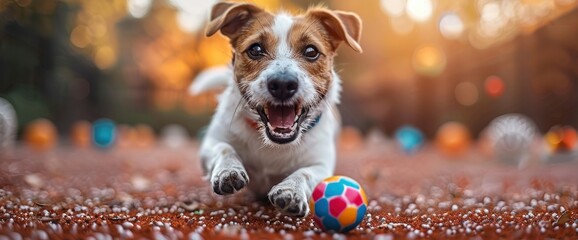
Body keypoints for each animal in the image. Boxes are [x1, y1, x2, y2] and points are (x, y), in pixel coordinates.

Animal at [190, 1, 360, 216]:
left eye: (311, 51)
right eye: (255, 49)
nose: (282, 84)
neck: (274, 146)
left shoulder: (321, 163)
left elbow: (305, 173)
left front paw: (291, 189)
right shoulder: (211, 142)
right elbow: (224, 148)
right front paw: (228, 170)